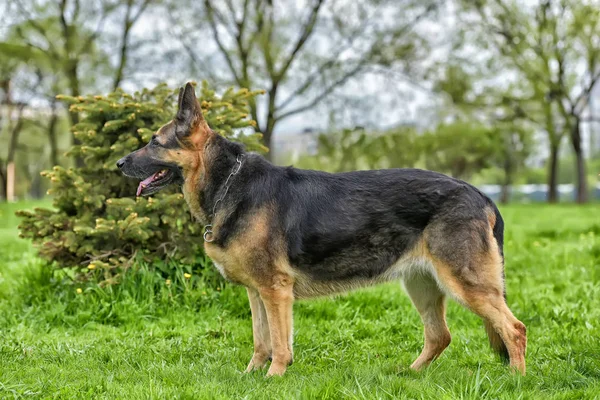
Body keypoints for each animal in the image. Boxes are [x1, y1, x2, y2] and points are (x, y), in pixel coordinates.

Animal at [116, 83, 524, 376]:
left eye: (154, 142)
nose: (118, 163)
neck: (229, 183)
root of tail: (482, 195)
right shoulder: (257, 293)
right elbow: (261, 342)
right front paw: (250, 377)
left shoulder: (275, 292)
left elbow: (280, 345)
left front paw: (274, 379)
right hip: (422, 285)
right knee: (441, 337)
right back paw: (409, 374)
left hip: (465, 285)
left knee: (514, 329)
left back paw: (515, 381)